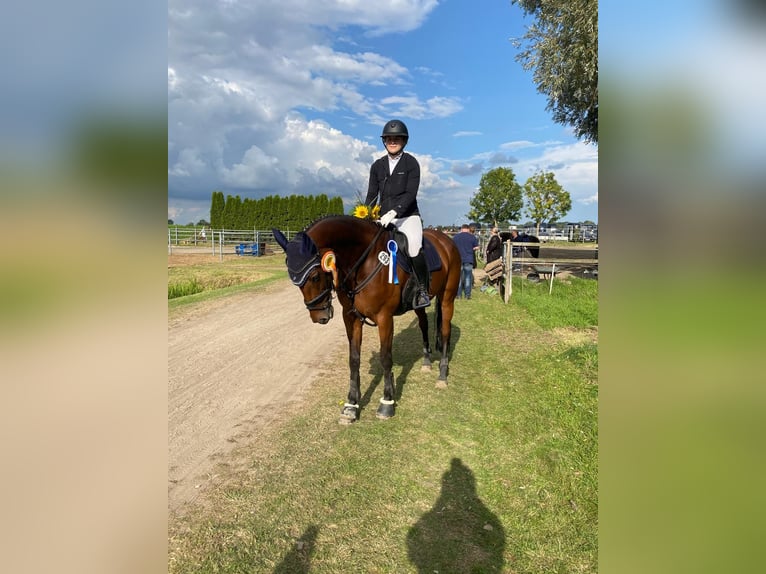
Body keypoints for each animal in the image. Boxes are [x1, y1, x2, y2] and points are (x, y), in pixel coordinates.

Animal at [272, 215, 461, 424]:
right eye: (293, 279)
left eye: (314, 276)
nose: (319, 317)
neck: (363, 261)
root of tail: (446, 240)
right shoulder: (351, 317)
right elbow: (354, 359)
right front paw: (351, 405)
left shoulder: (385, 317)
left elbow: (386, 358)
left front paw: (387, 403)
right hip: (419, 304)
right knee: (424, 325)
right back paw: (427, 362)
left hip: (447, 298)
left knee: (445, 332)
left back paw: (442, 375)